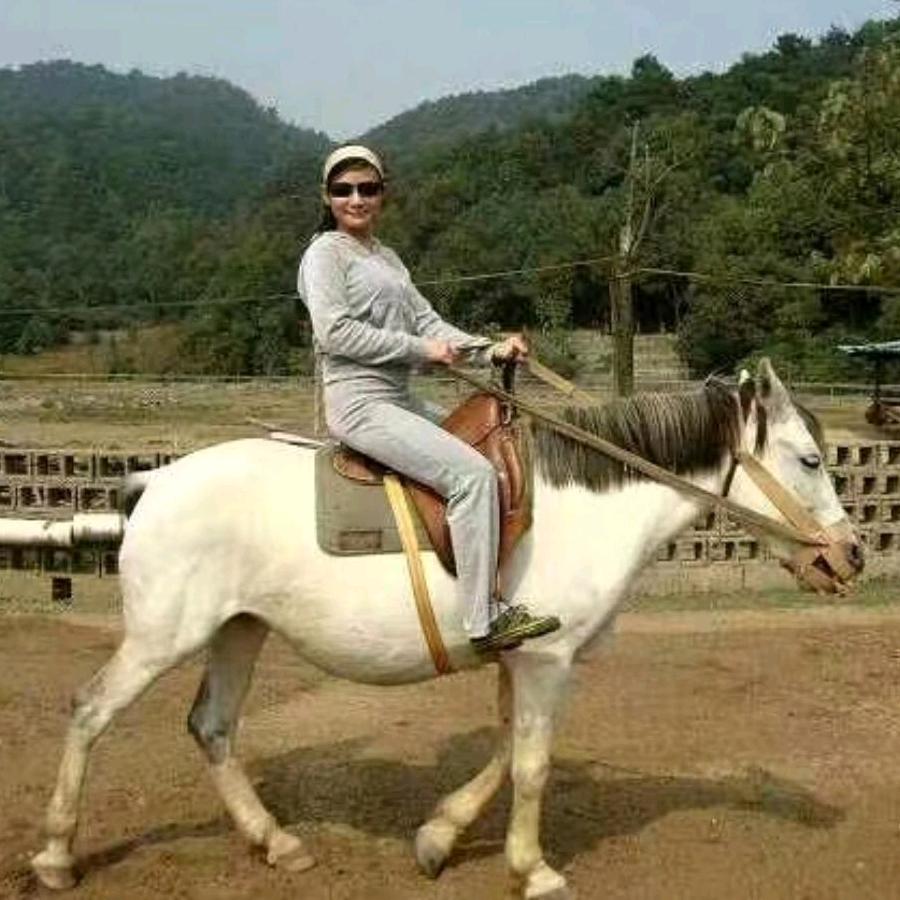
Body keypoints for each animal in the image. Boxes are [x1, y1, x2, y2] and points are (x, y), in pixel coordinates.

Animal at [31, 359, 862, 900]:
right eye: (808, 459)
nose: (851, 554)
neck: (583, 500)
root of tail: (156, 479)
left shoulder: (521, 656)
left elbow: (504, 751)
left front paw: (438, 838)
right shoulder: (547, 660)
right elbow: (532, 764)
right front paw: (535, 871)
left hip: (238, 630)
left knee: (212, 726)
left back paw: (277, 842)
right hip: (161, 637)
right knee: (91, 710)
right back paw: (55, 856)